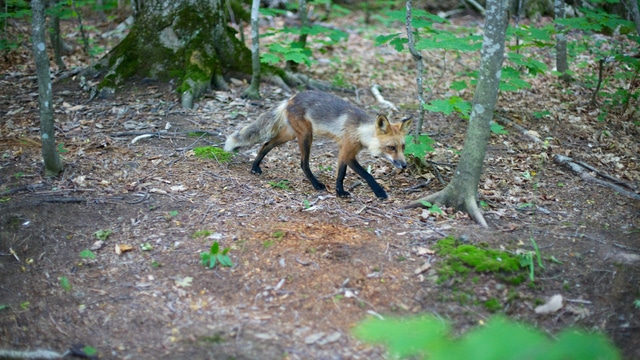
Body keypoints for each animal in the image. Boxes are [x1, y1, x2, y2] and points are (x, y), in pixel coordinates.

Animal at [225, 90, 412, 200]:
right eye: (391, 147)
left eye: (403, 147)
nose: (404, 165)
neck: (359, 131)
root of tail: (289, 98)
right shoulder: (348, 152)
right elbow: (367, 175)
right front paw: (379, 192)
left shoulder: (344, 152)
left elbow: (340, 174)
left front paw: (339, 192)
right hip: (306, 136)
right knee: (303, 163)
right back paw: (316, 184)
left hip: (289, 134)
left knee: (265, 144)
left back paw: (255, 166)